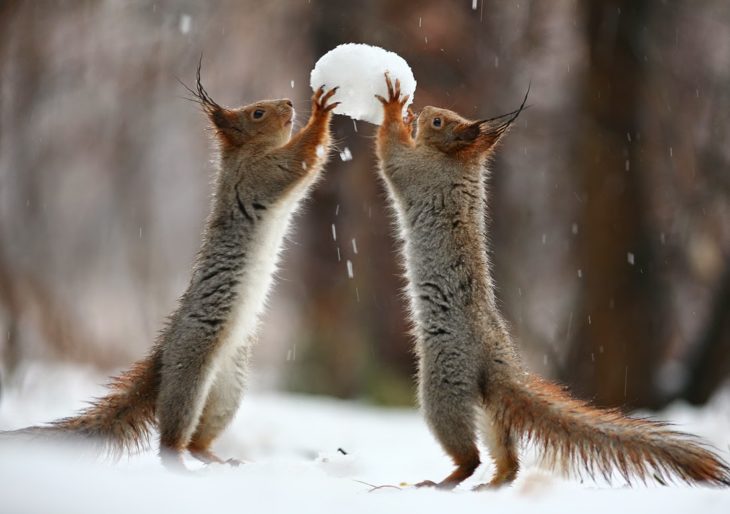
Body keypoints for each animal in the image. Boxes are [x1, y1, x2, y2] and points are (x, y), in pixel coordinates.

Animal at [1, 64, 338, 468]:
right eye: (257, 113)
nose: (288, 102)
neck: (246, 154)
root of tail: (162, 359)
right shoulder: (262, 175)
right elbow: (302, 159)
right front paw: (321, 110)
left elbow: (312, 168)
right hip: (190, 373)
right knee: (171, 439)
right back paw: (181, 463)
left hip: (227, 390)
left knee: (199, 439)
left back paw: (216, 459)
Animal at [372, 74, 724, 486]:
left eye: (440, 121)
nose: (425, 109)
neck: (458, 162)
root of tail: (496, 359)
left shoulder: (417, 172)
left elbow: (391, 155)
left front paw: (394, 108)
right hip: (487, 404)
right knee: (507, 456)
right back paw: (495, 483)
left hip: (442, 387)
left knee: (469, 454)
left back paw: (446, 481)